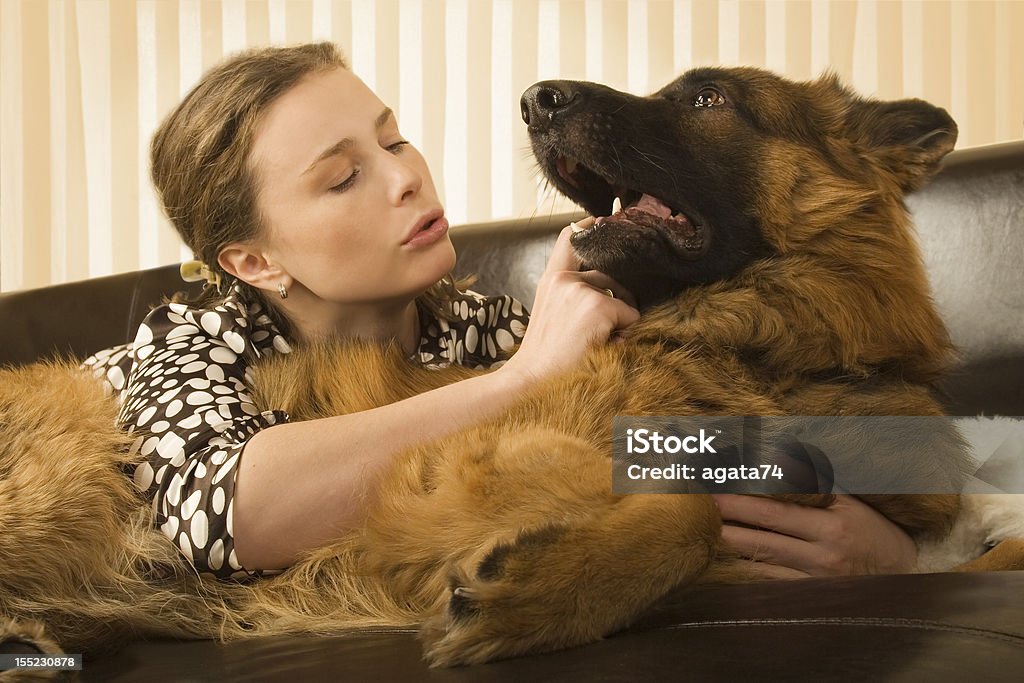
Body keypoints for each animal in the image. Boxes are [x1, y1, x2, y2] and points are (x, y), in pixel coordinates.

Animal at [0, 68, 974, 667]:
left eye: (708, 96)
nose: (537, 97)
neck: (757, 350)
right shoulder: (463, 463)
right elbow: (689, 507)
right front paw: (540, 595)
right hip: (70, 465)